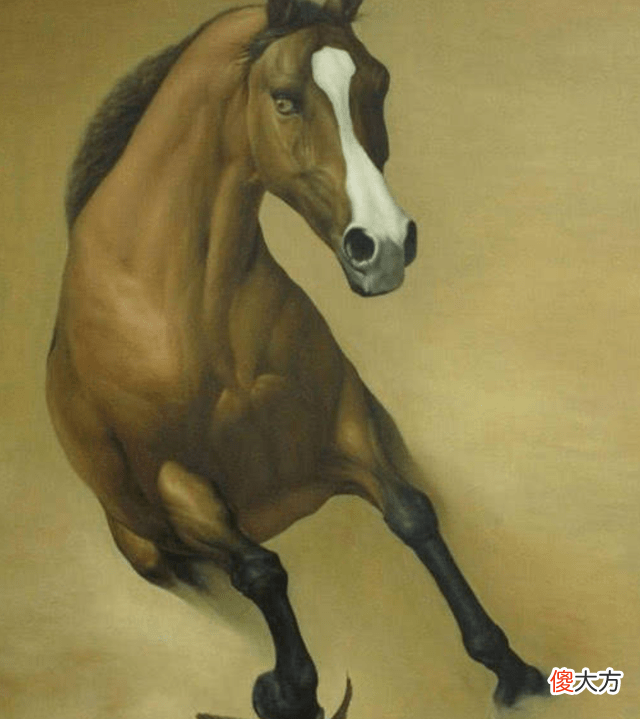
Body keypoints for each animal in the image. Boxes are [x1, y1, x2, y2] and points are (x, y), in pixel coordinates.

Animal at [46, 1, 548, 717]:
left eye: (378, 83)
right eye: (284, 100)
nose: (384, 246)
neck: (175, 300)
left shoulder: (343, 421)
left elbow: (413, 514)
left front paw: (509, 665)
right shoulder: (180, 485)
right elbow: (262, 571)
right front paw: (290, 689)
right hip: (155, 554)